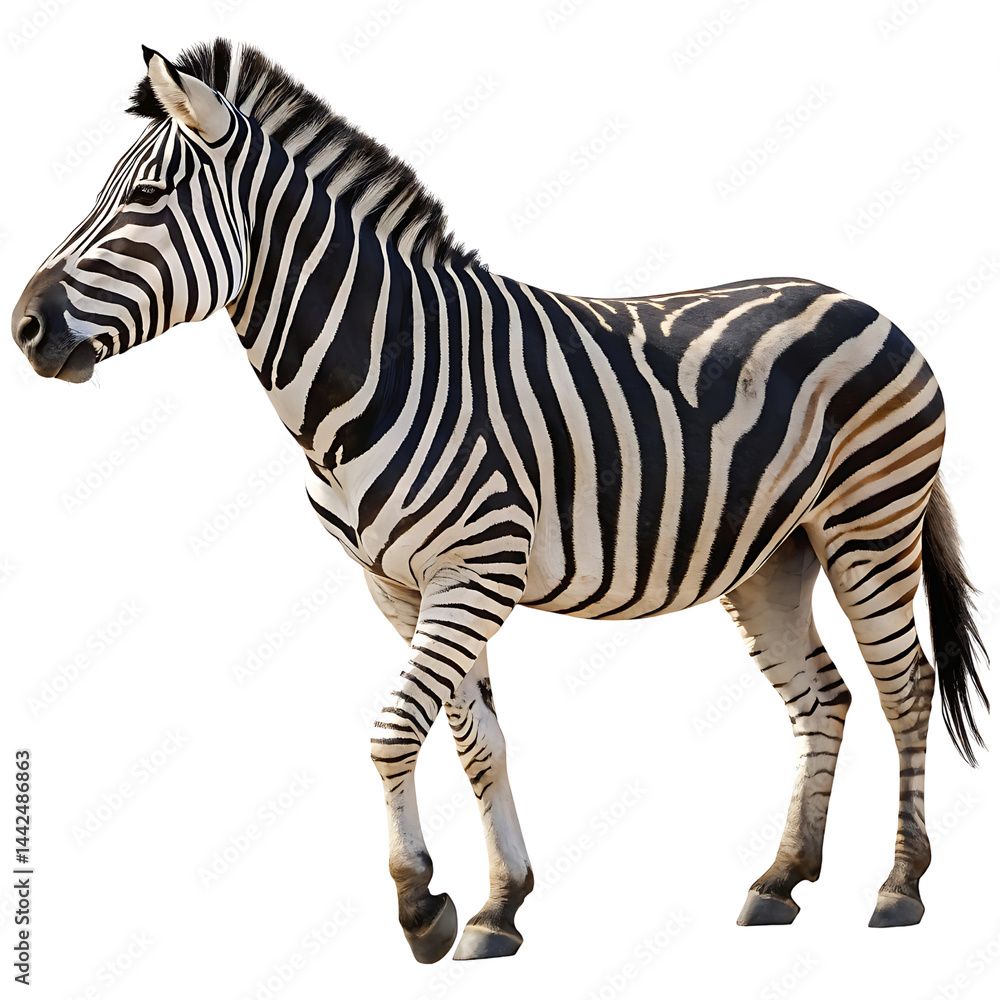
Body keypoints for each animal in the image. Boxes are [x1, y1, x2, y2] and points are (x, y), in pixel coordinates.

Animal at [11, 40, 988, 962]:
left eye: (147, 196)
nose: (24, 328)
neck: (384, 363)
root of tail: (864, 303)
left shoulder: (474, 570)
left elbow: (392, 731)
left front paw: (419, 906)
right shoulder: (399, 586)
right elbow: (476, 739)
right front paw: (499, 906)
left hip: (870, 522)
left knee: (905, 685)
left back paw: (899, 887)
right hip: (771, 558)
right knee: (823, 696)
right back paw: (782, 879)